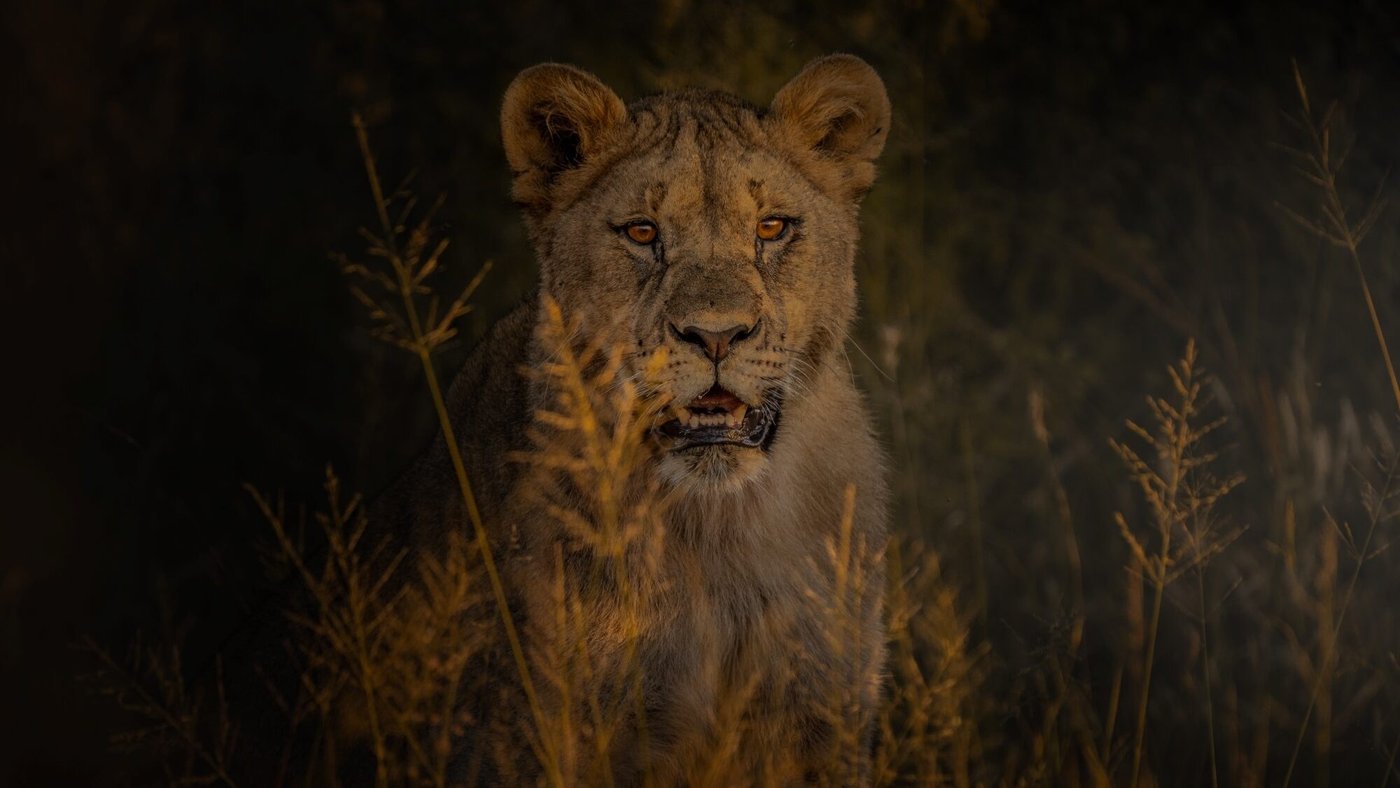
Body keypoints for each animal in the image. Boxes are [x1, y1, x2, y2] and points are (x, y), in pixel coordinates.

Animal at [383, 55, 891, 784]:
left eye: (772, 228)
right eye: (642, 233)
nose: (716, 335)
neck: (716, 532)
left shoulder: (823, 715)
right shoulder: (546, 730)